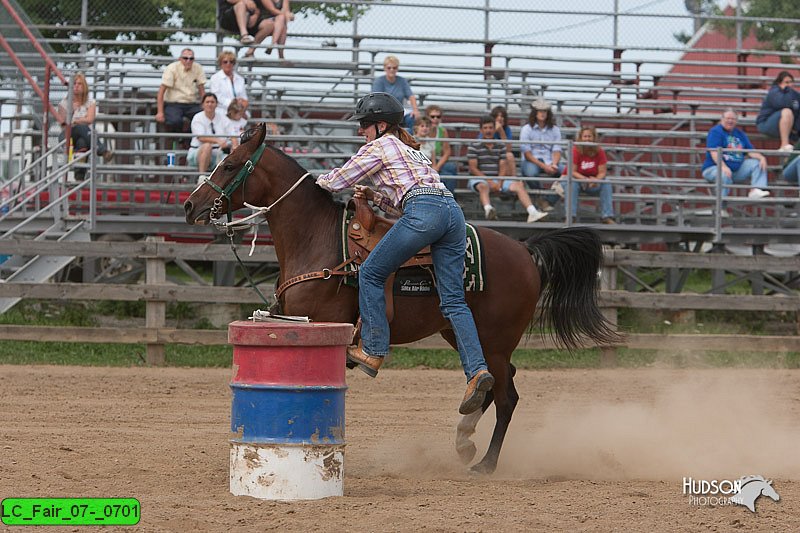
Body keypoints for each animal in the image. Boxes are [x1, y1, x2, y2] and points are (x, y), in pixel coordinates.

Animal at [186, 124, 620, 474]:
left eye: (230, 165)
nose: (191, 205)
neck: (317, 240)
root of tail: (526, 250)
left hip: (496, 339)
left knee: (505, 395)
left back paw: (485, 463)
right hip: (462, 332)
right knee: (488, 382)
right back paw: (464, 437)